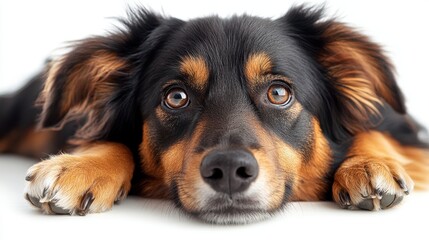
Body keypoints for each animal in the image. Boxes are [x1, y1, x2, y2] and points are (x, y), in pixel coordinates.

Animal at [0, 4, 426, 224]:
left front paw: (368, 164)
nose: (229, 171)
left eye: (278, 92)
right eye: (176, 97)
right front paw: (80, 167)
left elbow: (374, 132)